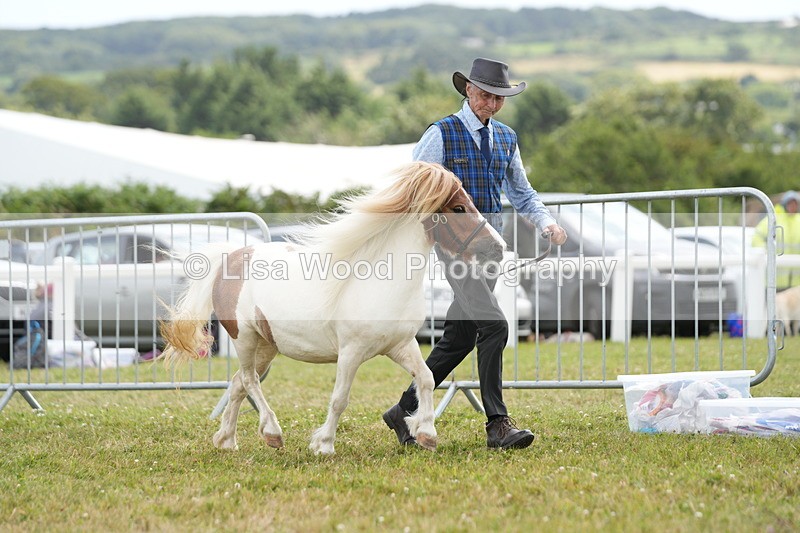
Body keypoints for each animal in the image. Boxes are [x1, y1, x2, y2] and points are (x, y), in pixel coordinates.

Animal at [160, 161, 505, 455]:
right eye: (458, 207)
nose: (498, 248)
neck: (381, 281)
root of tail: (230, 258)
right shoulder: (351, 352)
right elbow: (340, 399)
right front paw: (323, 444)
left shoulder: (401, 345)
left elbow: (426, 378)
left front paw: (426, 434)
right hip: (243, 338)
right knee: (248, 381)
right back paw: (272, 432)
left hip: (266, 345)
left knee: (236, 384)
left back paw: (227, 441)